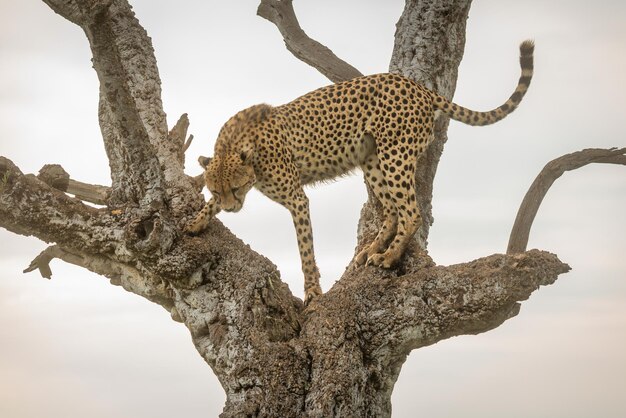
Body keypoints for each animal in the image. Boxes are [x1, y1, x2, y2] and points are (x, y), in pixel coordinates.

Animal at [185, 40, 532, 304]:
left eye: (236, 188)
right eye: (217, 190)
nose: (232, 207)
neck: (239, 146)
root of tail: (416, 85)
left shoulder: (297, 199)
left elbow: (305, 249)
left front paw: (312, 292)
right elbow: (208, 207)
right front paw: (195, 222)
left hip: (394, 155)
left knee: (410, 212)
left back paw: (388, 257)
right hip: (372, 160)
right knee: (391, 211)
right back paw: (373, 248)